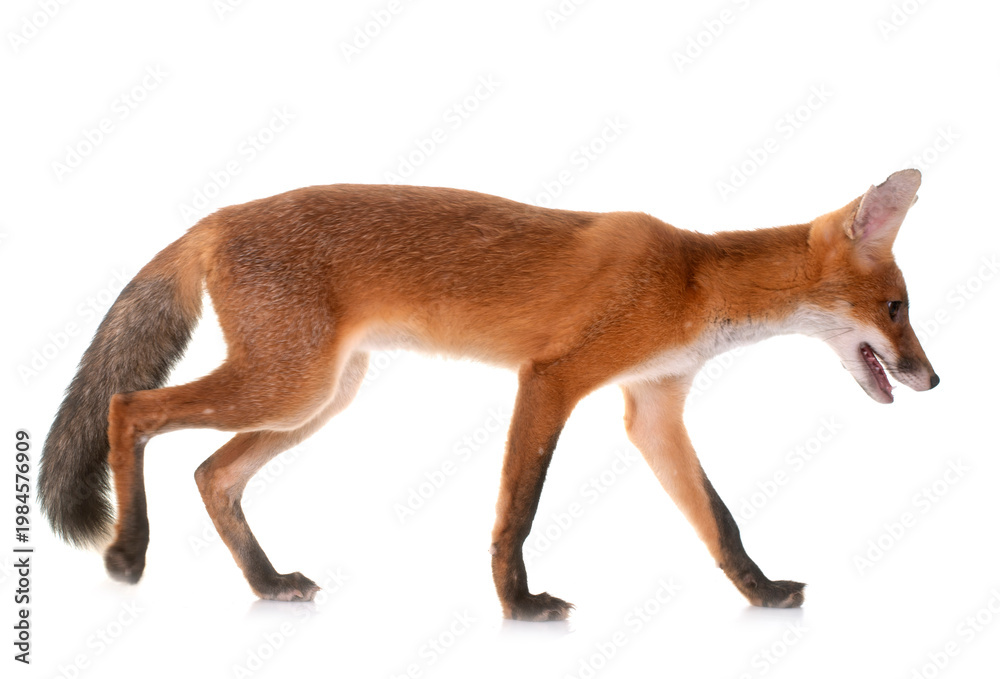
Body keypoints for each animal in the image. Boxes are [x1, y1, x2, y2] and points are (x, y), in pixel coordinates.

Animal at [38, 168, 938, 620]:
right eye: (897, 308)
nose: (934, 378)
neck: (691, 283)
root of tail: (213, 218)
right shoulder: (552, 378)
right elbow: (518, 509)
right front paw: (518, 601)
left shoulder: (653, 407)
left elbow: (720, 521)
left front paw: (760, 591)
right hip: (287, 383)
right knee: (128, 410)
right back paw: (127, 551)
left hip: (320, 396)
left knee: (212, 472)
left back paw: (265, 584)